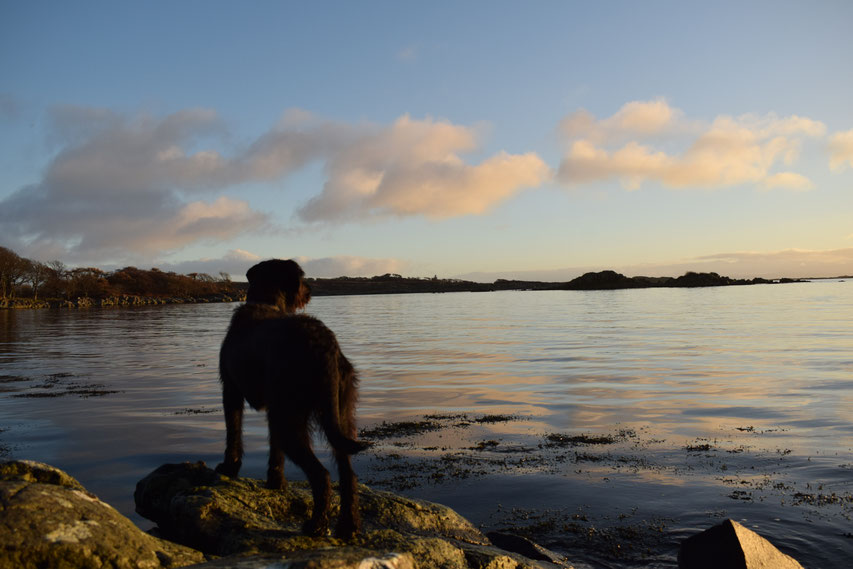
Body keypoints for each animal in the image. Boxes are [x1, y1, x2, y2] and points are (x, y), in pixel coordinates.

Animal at [215, 258, 368, 536]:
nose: (309, 289)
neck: (266, 302)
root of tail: (324, 347)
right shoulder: (273, 409)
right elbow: (275, 451)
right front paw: (276, 482)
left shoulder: (230, 390)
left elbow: (233, 432)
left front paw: (229, 468)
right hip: (339, 414)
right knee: (347, 472)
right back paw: (347, 527)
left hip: (291, 417)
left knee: (321, 474)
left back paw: (316, 526)